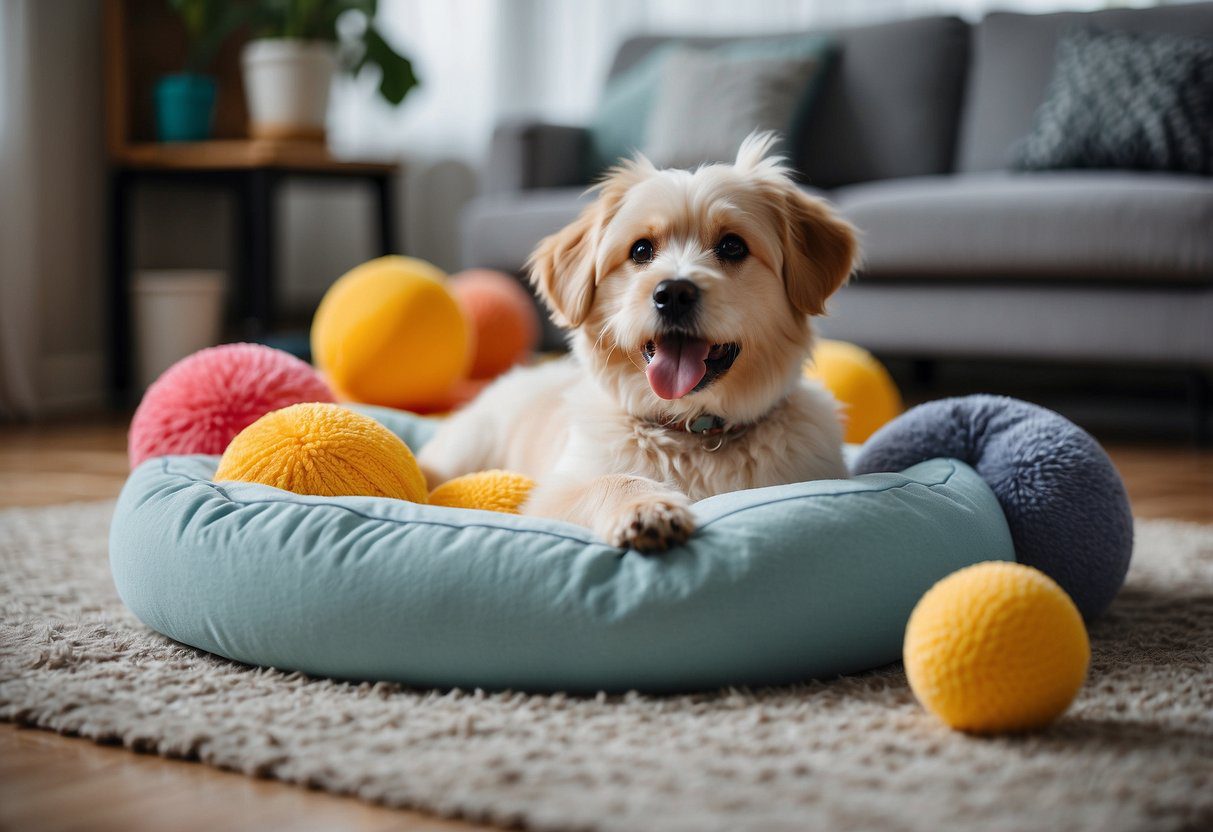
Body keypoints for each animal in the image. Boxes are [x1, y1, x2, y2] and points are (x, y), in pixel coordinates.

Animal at [422, 133, 858, 553]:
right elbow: (611, 480)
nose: (674, 293)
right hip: (468, 443)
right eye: (641, 250)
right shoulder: (550, 494)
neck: (695, 434)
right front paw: (647, 508)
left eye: (733, 246)